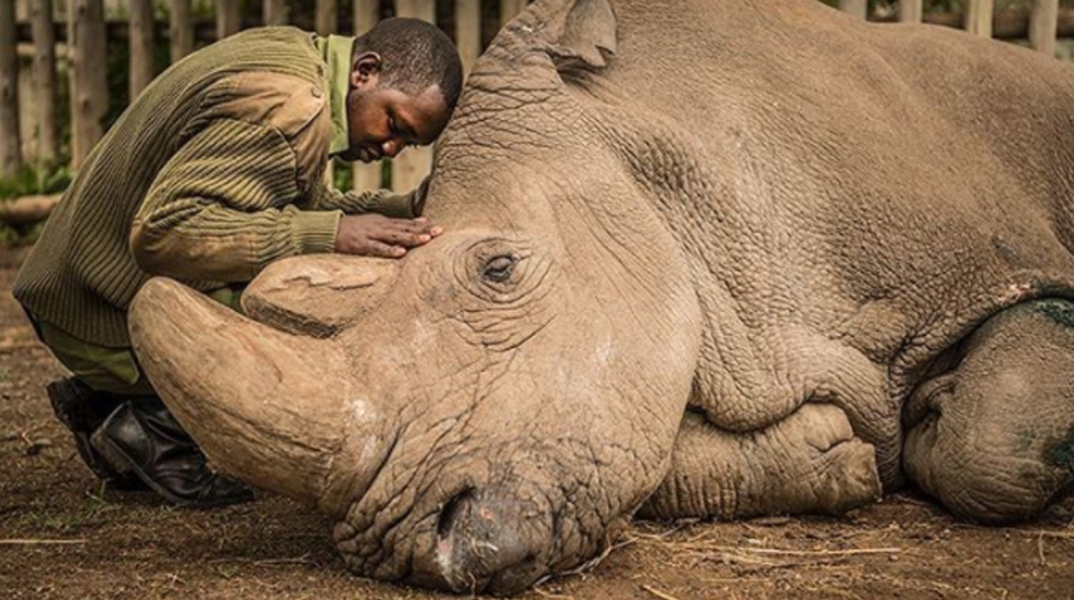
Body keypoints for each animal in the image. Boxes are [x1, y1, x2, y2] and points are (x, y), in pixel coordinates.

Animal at [127, 0, 1074, 594]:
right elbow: (647, 454)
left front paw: (934, 416)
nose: (414, 549)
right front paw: (836, 454)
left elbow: (992, 440)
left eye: (499, 270)